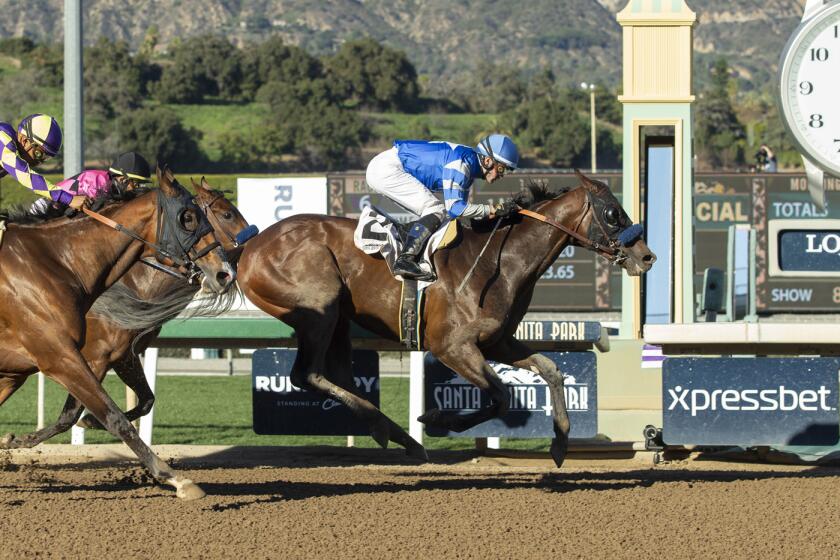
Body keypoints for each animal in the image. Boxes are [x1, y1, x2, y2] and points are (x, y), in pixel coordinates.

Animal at [0, 166, 233, 498]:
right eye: (188, 217)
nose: (225, 274)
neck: (59, 263)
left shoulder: (21, 370)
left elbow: (123, 405)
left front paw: (14, 440)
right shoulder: (65, 357)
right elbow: (113, 416)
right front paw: (176, 478)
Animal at [236, 172, 656, 468]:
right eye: (613, 213)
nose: (647, 257)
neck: (500, 262)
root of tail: (250, 246)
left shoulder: (497, 341)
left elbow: (551, 370)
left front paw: (561, 441)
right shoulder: (452, 346)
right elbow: (501, 397)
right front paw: (439, 418)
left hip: (337, 317)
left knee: (336, 375)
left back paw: (397, 436)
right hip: (319, 311)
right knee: (306, 374)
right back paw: (398, 435)